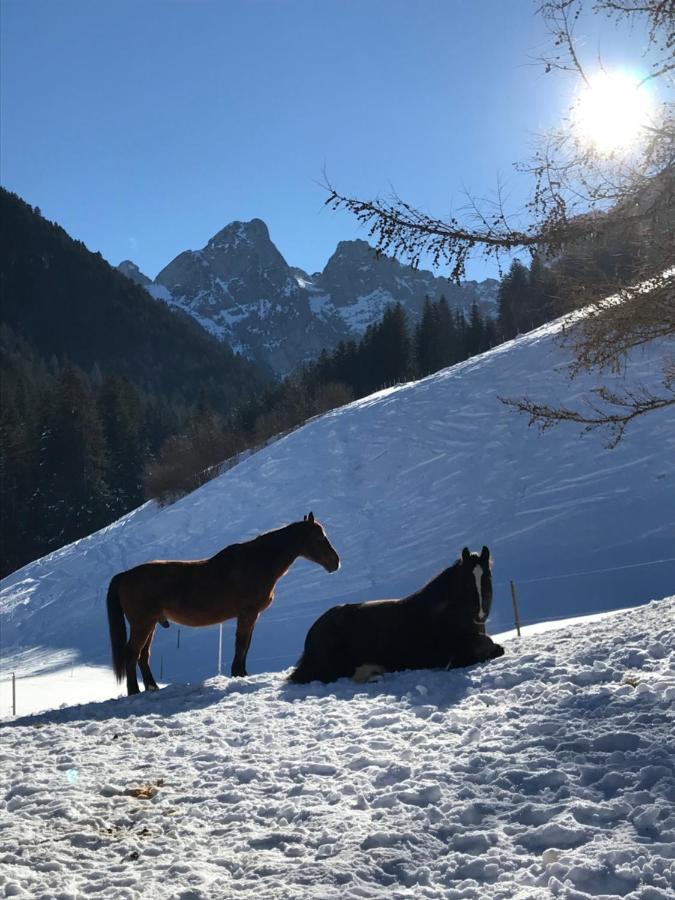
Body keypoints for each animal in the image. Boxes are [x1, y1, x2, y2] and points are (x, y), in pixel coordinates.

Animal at [108, 512, 340, 696]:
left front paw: (242, 673)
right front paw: (238, 673)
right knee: (132, 654)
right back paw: (133, 690)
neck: (257, 562)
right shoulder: (247, 614)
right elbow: (242, 644)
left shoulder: (251, 616)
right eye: (319, 538)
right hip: (142, 624)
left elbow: (246, 645)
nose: (336, 562)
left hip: (151, 623)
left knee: (143, 656)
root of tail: (125, 575)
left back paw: (152, 687)